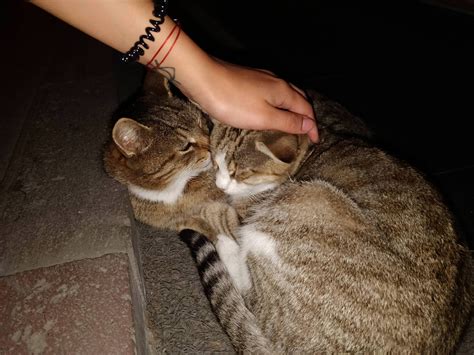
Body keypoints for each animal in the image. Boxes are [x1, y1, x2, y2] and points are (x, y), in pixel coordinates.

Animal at [105, 74, 472, 354]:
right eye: (215, 160)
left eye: (238, 172)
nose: (217, 176)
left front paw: (215, 215)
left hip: (305, 201)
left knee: (246, 287)